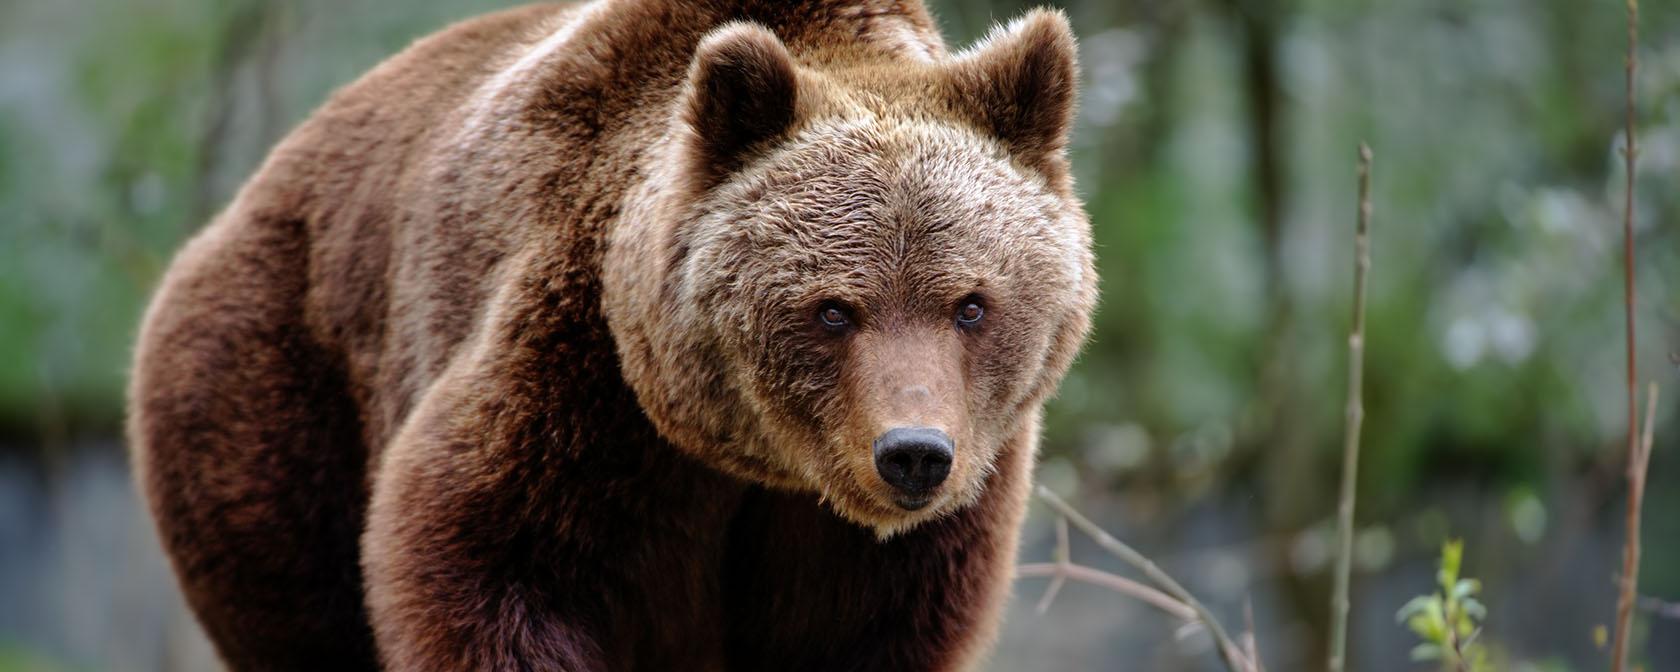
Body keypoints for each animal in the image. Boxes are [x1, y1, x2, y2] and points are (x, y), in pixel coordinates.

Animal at [126, 0, 1096, 670]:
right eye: (832, 308)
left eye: (971, 304)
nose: (913, 453)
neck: (753, 462)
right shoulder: (579, 382)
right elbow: (482, 557)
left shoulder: (908, 531)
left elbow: (865, 627)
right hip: (276, 386)